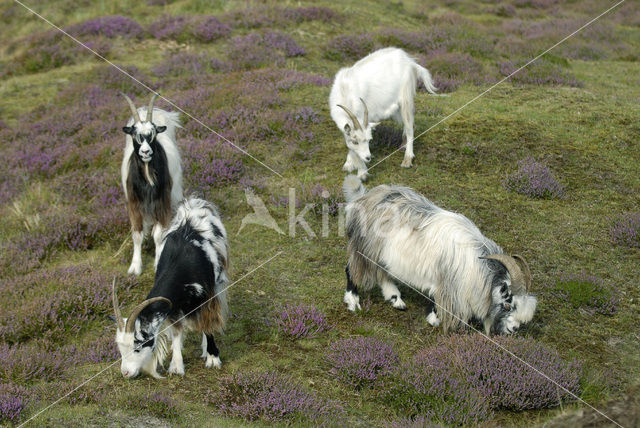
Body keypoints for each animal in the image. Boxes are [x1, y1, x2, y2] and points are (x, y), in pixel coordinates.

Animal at [111, 197, 229, 378]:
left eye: (138, 347)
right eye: (120, 347)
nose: (125, 372)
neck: (181, 264)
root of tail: (194, 202)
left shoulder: (207, 297)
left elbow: (208, 324)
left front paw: (213, 357)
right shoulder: (173, 306)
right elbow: (176, 332)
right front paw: (176, 365)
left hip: (219, 280)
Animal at [120, 92, 181, 276]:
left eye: (152, 134)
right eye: (135, 135)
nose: (145, 152)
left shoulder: (162, 200)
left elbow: (159, 234)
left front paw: (158, 260)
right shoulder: (134, 202)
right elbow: (137, 234)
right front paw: (135, 266)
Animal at [330, 47, 440, 181]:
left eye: (369, 140)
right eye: (355, 141)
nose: (368, 158)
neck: (345, 91)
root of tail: (409, 61)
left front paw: (362, 174)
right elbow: (350, 146)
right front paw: (349, 164)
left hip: (406, 98)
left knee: (410, 127)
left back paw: (407, 159)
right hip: (396, 109)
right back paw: (403, 145)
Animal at [342, 176, 536, 336]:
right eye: (508, 304)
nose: (514, 329)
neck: (477, 265)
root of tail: (363, 199)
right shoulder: (445, 282)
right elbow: (436, 300)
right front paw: (434, 319)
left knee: (383, 273)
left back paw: (395, 299)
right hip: (364, 248)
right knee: (351, 269)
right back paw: (353, 302)